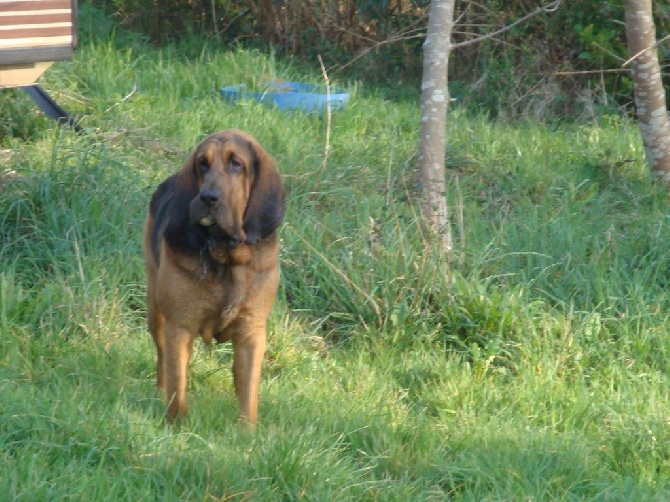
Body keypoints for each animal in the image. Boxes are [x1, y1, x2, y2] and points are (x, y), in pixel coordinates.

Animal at [143, 129, 284, 428]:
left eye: (236, 164)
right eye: (202, 164)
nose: (207, 197)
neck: (225, 255)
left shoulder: (251, 333)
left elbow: (248, 393)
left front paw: (247, 434)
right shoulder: (179, 327)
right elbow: (177, 384)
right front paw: (177, 427)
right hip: (155, 311)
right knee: (163, 362)